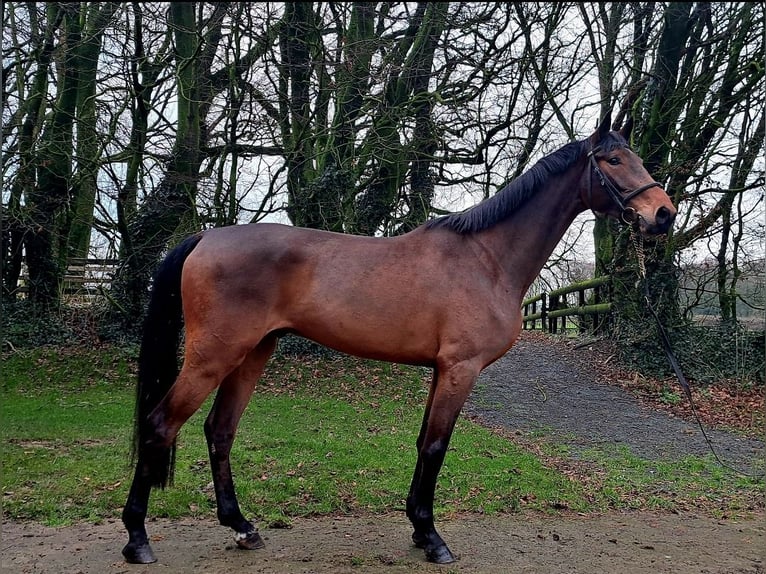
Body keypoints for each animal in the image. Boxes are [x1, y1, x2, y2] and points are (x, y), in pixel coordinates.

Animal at [121, 115, 676, 565]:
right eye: (612, 159)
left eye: (635, 157)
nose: (664, 214)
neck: (487, 259)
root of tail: (205, 237)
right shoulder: (459, 369)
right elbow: (435, 447)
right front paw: (432, 539)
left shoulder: (440, 370)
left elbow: (422, 443)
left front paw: (417, 527)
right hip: (213, 356)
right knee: (159, 425)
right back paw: (137, 539)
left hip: (253, 352)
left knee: (220, 431)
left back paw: (242, 527)